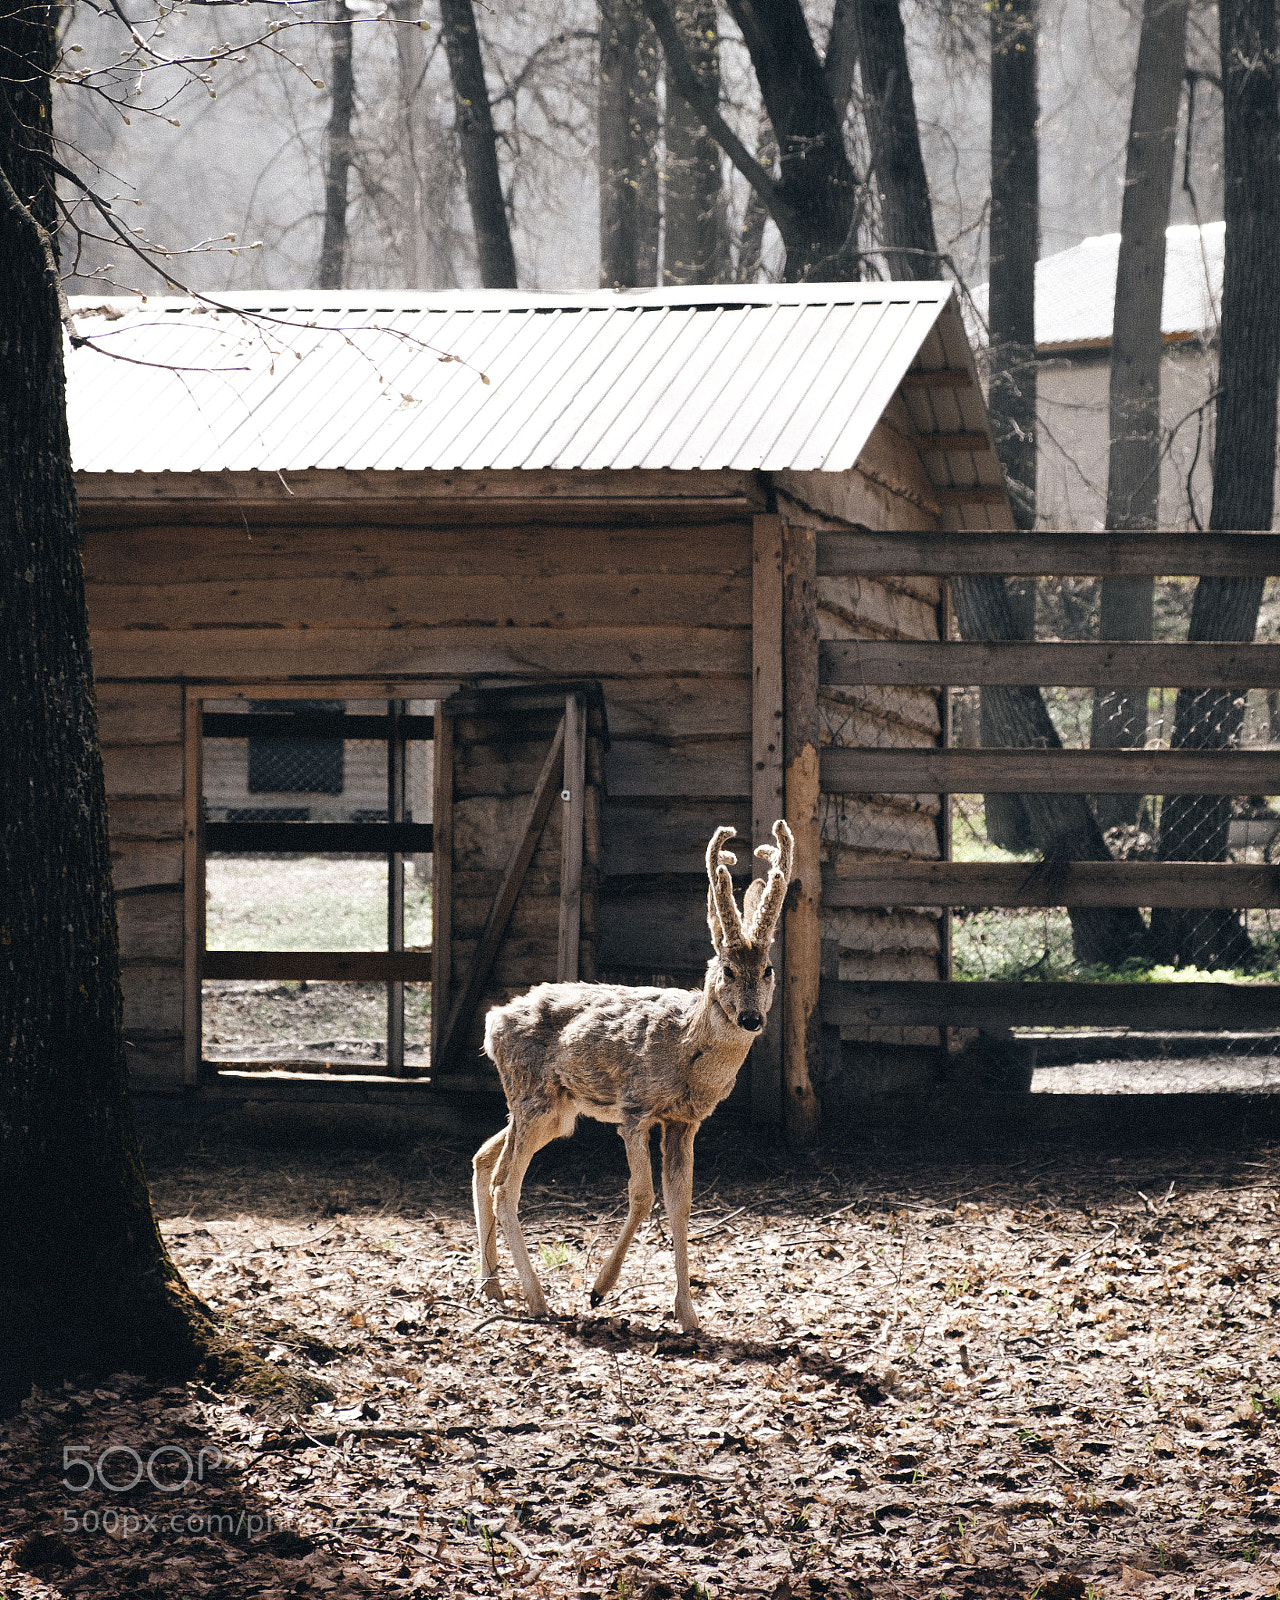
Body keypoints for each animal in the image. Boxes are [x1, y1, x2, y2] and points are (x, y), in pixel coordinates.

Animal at [471, 820, 794, 1334]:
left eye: (767, 969)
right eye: (726, 968)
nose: (750, 1018)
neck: (685, 1047)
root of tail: (492, 1022)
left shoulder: (685, 1122)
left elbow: (681, 1203)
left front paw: (689, 1315)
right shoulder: (635, 1109)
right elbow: (642, 1194)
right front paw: (599, 1289)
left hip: (552, 1110)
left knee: (483, 1158)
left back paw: (493, 1287)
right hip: (533, 1097)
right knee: (506, 1182)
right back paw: (537, 1299)